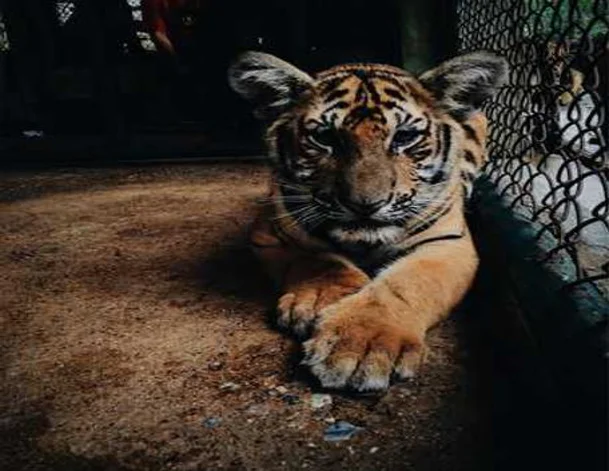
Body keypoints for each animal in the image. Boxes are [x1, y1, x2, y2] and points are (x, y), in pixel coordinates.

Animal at [228, 51, 507, 391]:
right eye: (325, 137)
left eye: (405, 137)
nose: (365, 204)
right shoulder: (270, 230)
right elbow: (317, 260)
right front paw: (321, 301)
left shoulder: (448, 244)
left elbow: (406, 284)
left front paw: (360, 345)